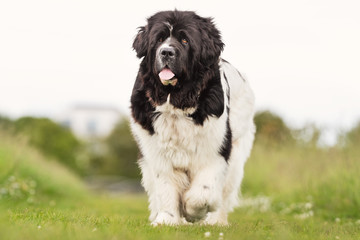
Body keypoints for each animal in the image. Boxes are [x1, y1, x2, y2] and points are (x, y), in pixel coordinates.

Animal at [130, 10, 256, 226]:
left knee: (224, 192)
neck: (176, 101)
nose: (166, 52)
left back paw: (215, 221)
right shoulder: (156, 151)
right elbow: (165, 187)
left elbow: (204, 191)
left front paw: (192, 211)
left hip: (237, 154)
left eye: (185, 40)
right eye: (159, 39)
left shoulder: (215, 148)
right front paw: (167, 220)